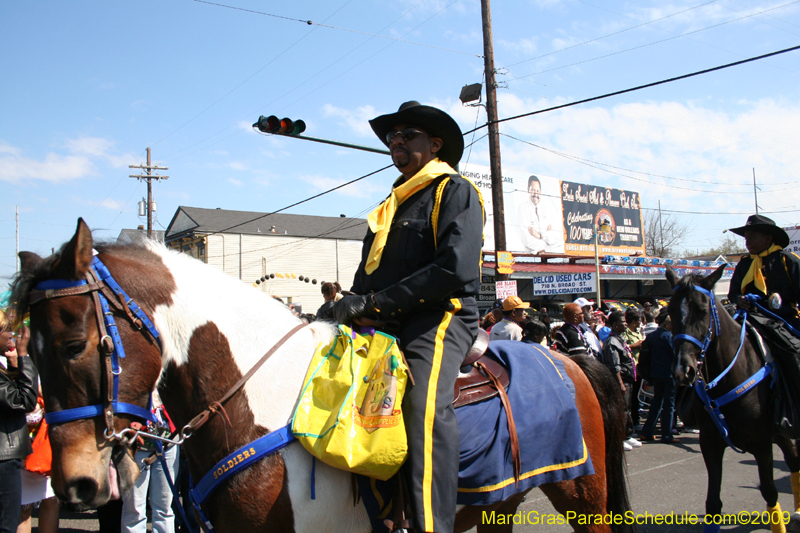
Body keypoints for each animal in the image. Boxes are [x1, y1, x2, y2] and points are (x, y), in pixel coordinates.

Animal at [10, 218, 632, 528]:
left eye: (72, 345)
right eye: (30, 355)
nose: (78, 484)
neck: (256, 406)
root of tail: (566, 358)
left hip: (583, 491)